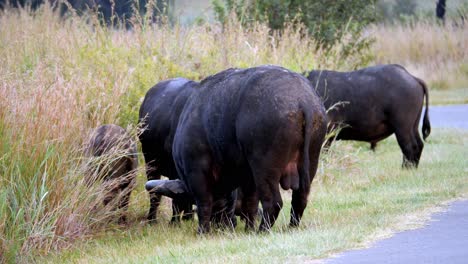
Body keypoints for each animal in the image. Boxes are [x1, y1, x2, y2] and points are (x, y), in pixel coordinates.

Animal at [138, 78, 198, 223]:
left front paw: (187, 218)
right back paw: (152, 219)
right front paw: (175, 221)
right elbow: (176, 197)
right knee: (154, 194)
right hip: (150, 162)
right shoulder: (174, 170)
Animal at [167, 66, 326, 233]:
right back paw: (290, 228)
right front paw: (248, 229)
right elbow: (251, 204)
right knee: (300, 199)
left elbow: (204, 203)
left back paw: (262, 230)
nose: (222, 224)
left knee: (273, 202)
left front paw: (202, 231)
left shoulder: (196, 173)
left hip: (264, 167)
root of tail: (302, 100)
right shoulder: (248, 177)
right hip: (310, 161)